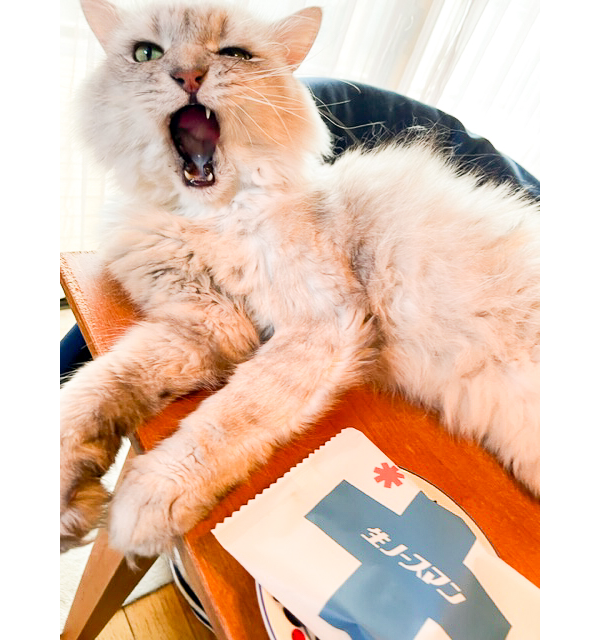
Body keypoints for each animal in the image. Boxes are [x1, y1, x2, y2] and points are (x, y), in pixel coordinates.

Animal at [60, 0, 540, 558]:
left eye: (234, 54)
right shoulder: (204, 325)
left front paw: (142, 505)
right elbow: (99, 388)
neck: (209, 217)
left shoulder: (322, 322)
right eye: (146, 54)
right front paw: (70, 497)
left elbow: (229, 415)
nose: (188, 76)